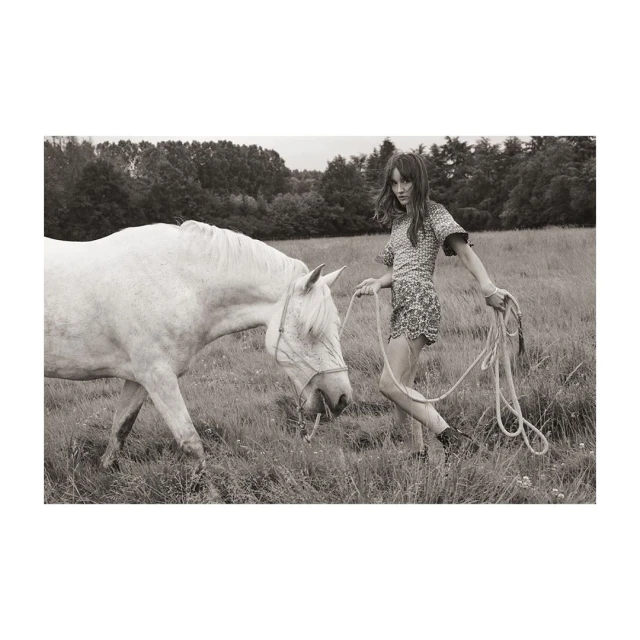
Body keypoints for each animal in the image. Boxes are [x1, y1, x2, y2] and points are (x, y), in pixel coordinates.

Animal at [44, 221, 353, 471]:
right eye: (311, 330)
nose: (342, 398)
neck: (180, 284)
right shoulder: (159, 378)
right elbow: (191, 443)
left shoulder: (139, 379)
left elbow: (120, 428)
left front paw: (106, 470)